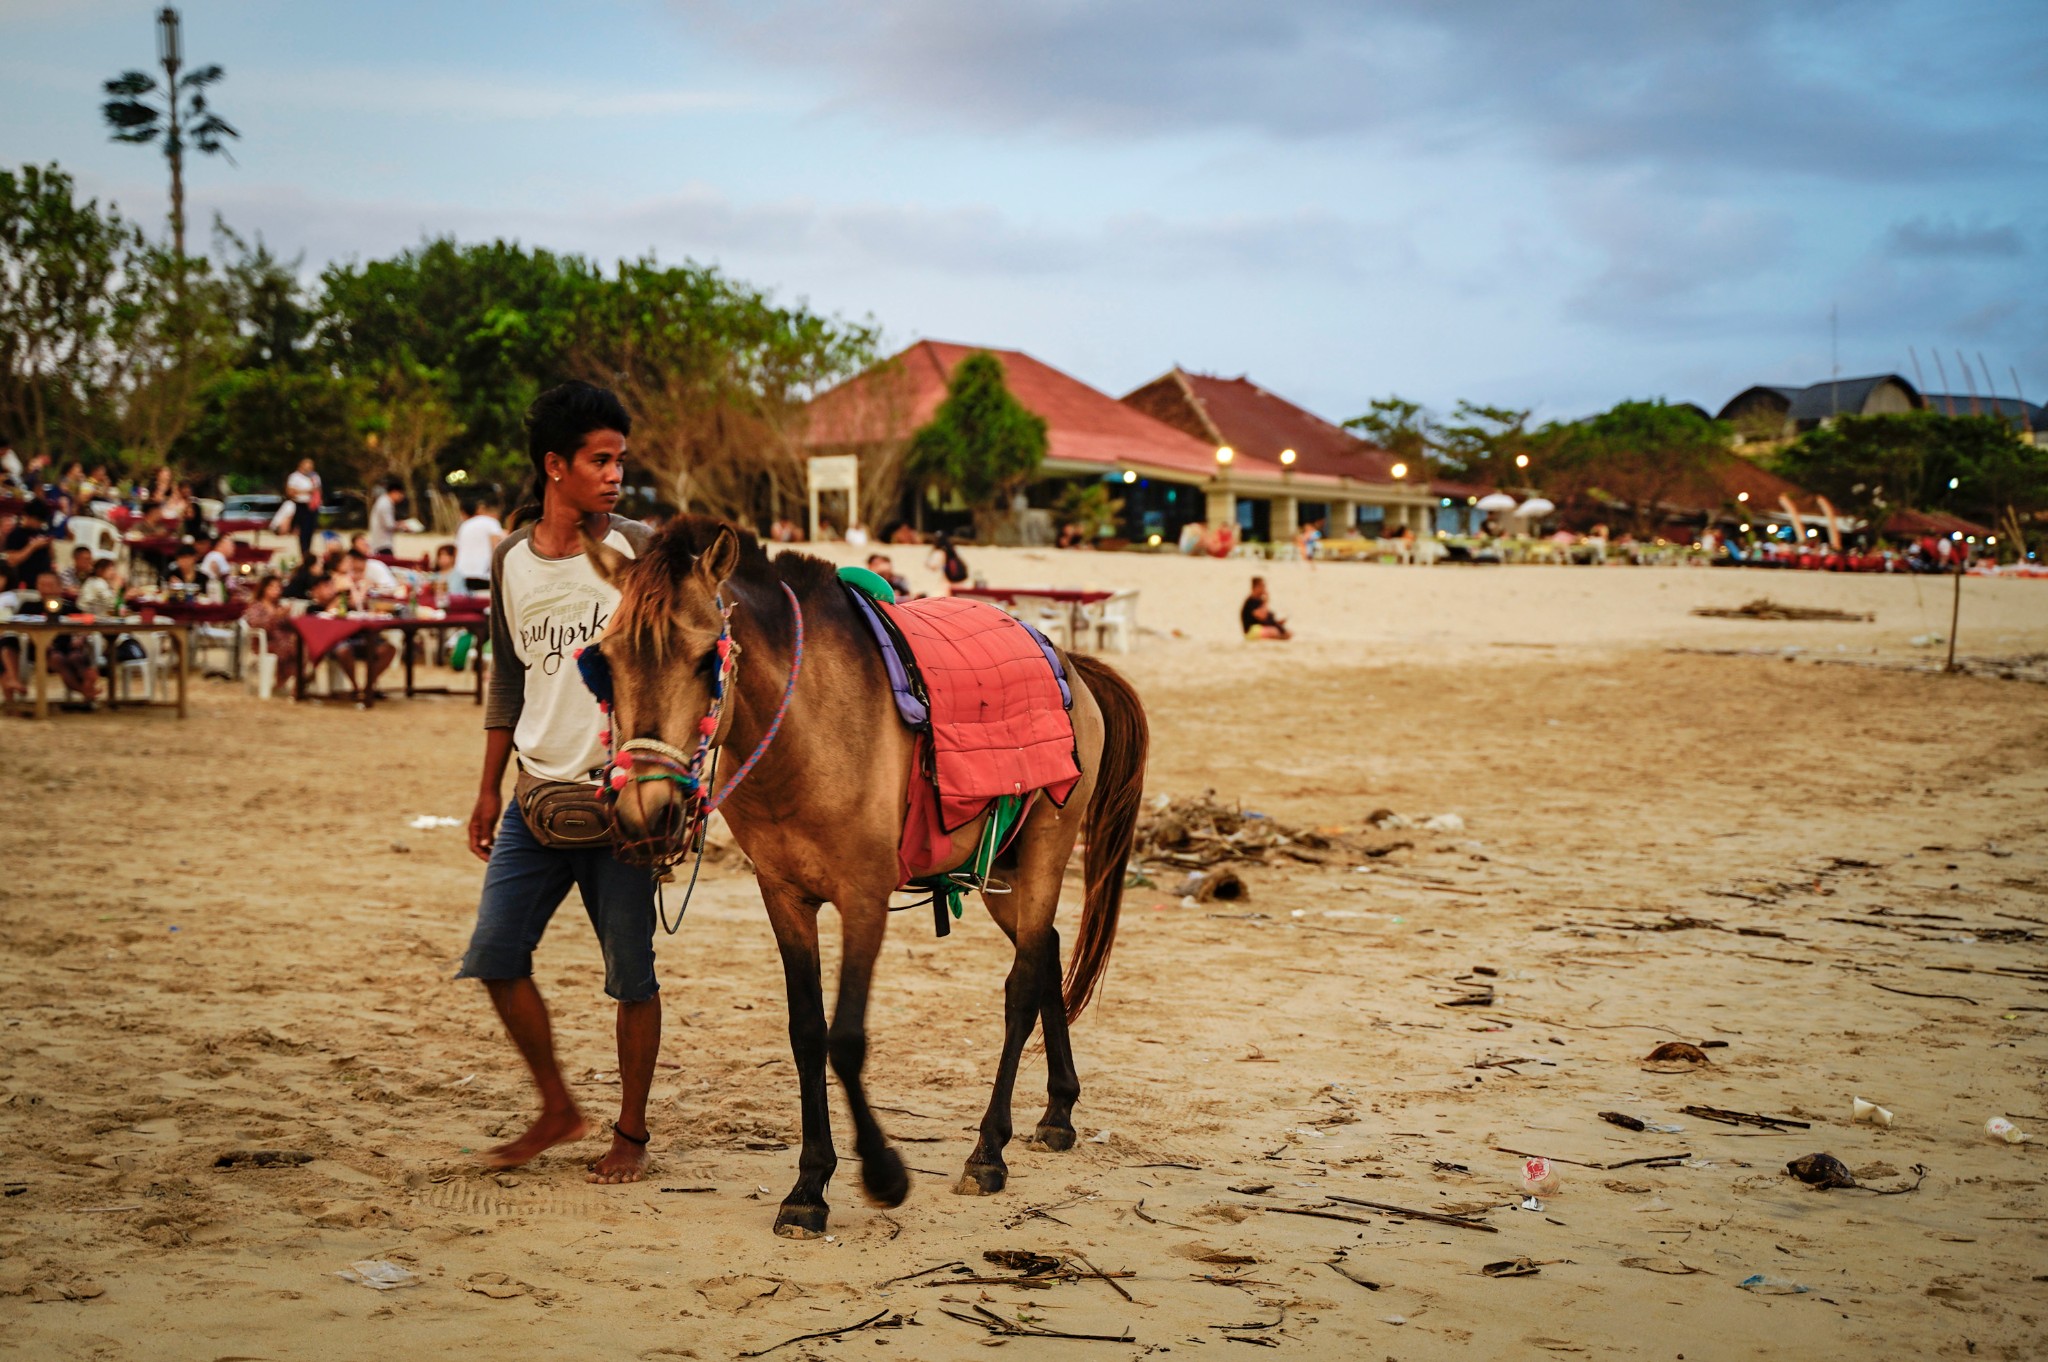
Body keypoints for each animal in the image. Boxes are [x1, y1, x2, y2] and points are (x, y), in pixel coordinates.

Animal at [589, 516, 1155, 1237]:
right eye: (605, 662)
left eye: (703, 660)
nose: (645, 812)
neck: (808, 725)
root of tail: (1071, 666)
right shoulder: (784, 897)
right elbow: (807, 1034)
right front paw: (809, 1185)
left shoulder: (864, 899)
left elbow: (846, 1038)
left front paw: (883, 1174)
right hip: (1004, 870)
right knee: (1047, 951)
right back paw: (1057, 1110)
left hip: (1046, 853)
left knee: (1023, 985)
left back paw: (988, 1150)